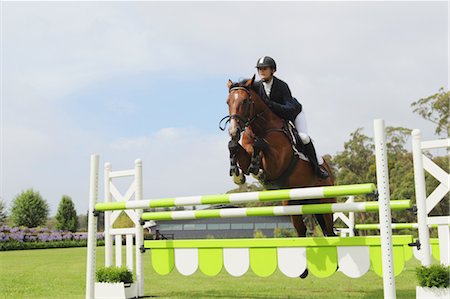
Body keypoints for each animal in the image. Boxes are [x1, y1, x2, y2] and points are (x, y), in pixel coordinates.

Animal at [223, 75, 336, 239]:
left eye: (245, 101)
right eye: (228, 101)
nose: (233, 131)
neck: (261, 128)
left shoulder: (276, 165)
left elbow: (260, 144)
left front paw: (257, 169)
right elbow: (234, 147)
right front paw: (238, 174)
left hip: (325, 202)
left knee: (330, 231)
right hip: (295, 203)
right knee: (301, 231)